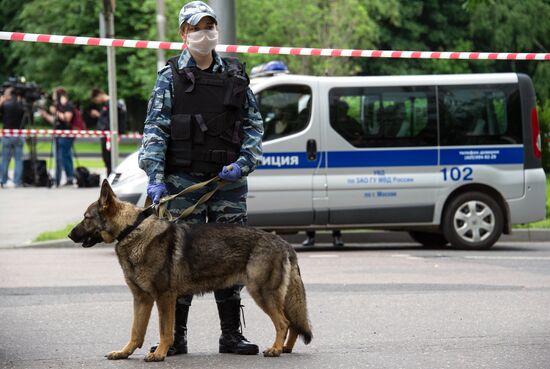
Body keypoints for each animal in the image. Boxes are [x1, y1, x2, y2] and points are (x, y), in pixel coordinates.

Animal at [67, 180, 312, 360]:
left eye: (86, 218)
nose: (69, 235)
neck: (132, 229)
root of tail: (283, 242)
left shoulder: (164, 297)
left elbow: (165, 330)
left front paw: (160, 354)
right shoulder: (141, 298)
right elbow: (136, 331)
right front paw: (124, 353)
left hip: (262, 294)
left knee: (284, 322)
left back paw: (275, 349)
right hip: (275, 296)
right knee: (293, 323)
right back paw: (286, 348)